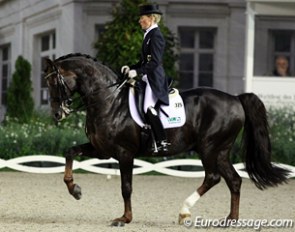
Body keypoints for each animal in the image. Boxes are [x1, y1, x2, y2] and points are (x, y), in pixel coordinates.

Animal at [44, 53, 292, 226]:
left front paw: (124, 219)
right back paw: (230, 219)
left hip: (209, 147)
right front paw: (75, 190)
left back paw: (184, 211)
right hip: (220, 151)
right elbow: (69, 152)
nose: (57, 114)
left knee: (213, 177)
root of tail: (235, 98)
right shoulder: (102, 150)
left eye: (55, 83)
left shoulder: (124, 153)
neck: (109, 101)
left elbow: (126, 187)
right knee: (234, 180)